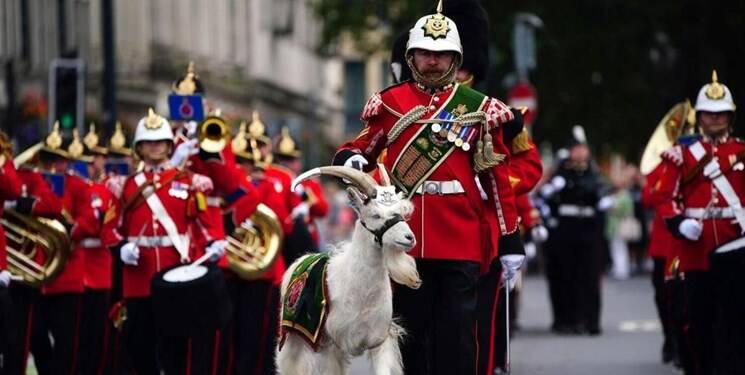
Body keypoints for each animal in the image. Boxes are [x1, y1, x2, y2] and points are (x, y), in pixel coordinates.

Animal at [276, 167, 422, 375]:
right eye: (376, 215)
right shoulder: (332, 344)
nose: (409, 238)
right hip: (294, 337)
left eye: (401, 212)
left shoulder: (380, 340)